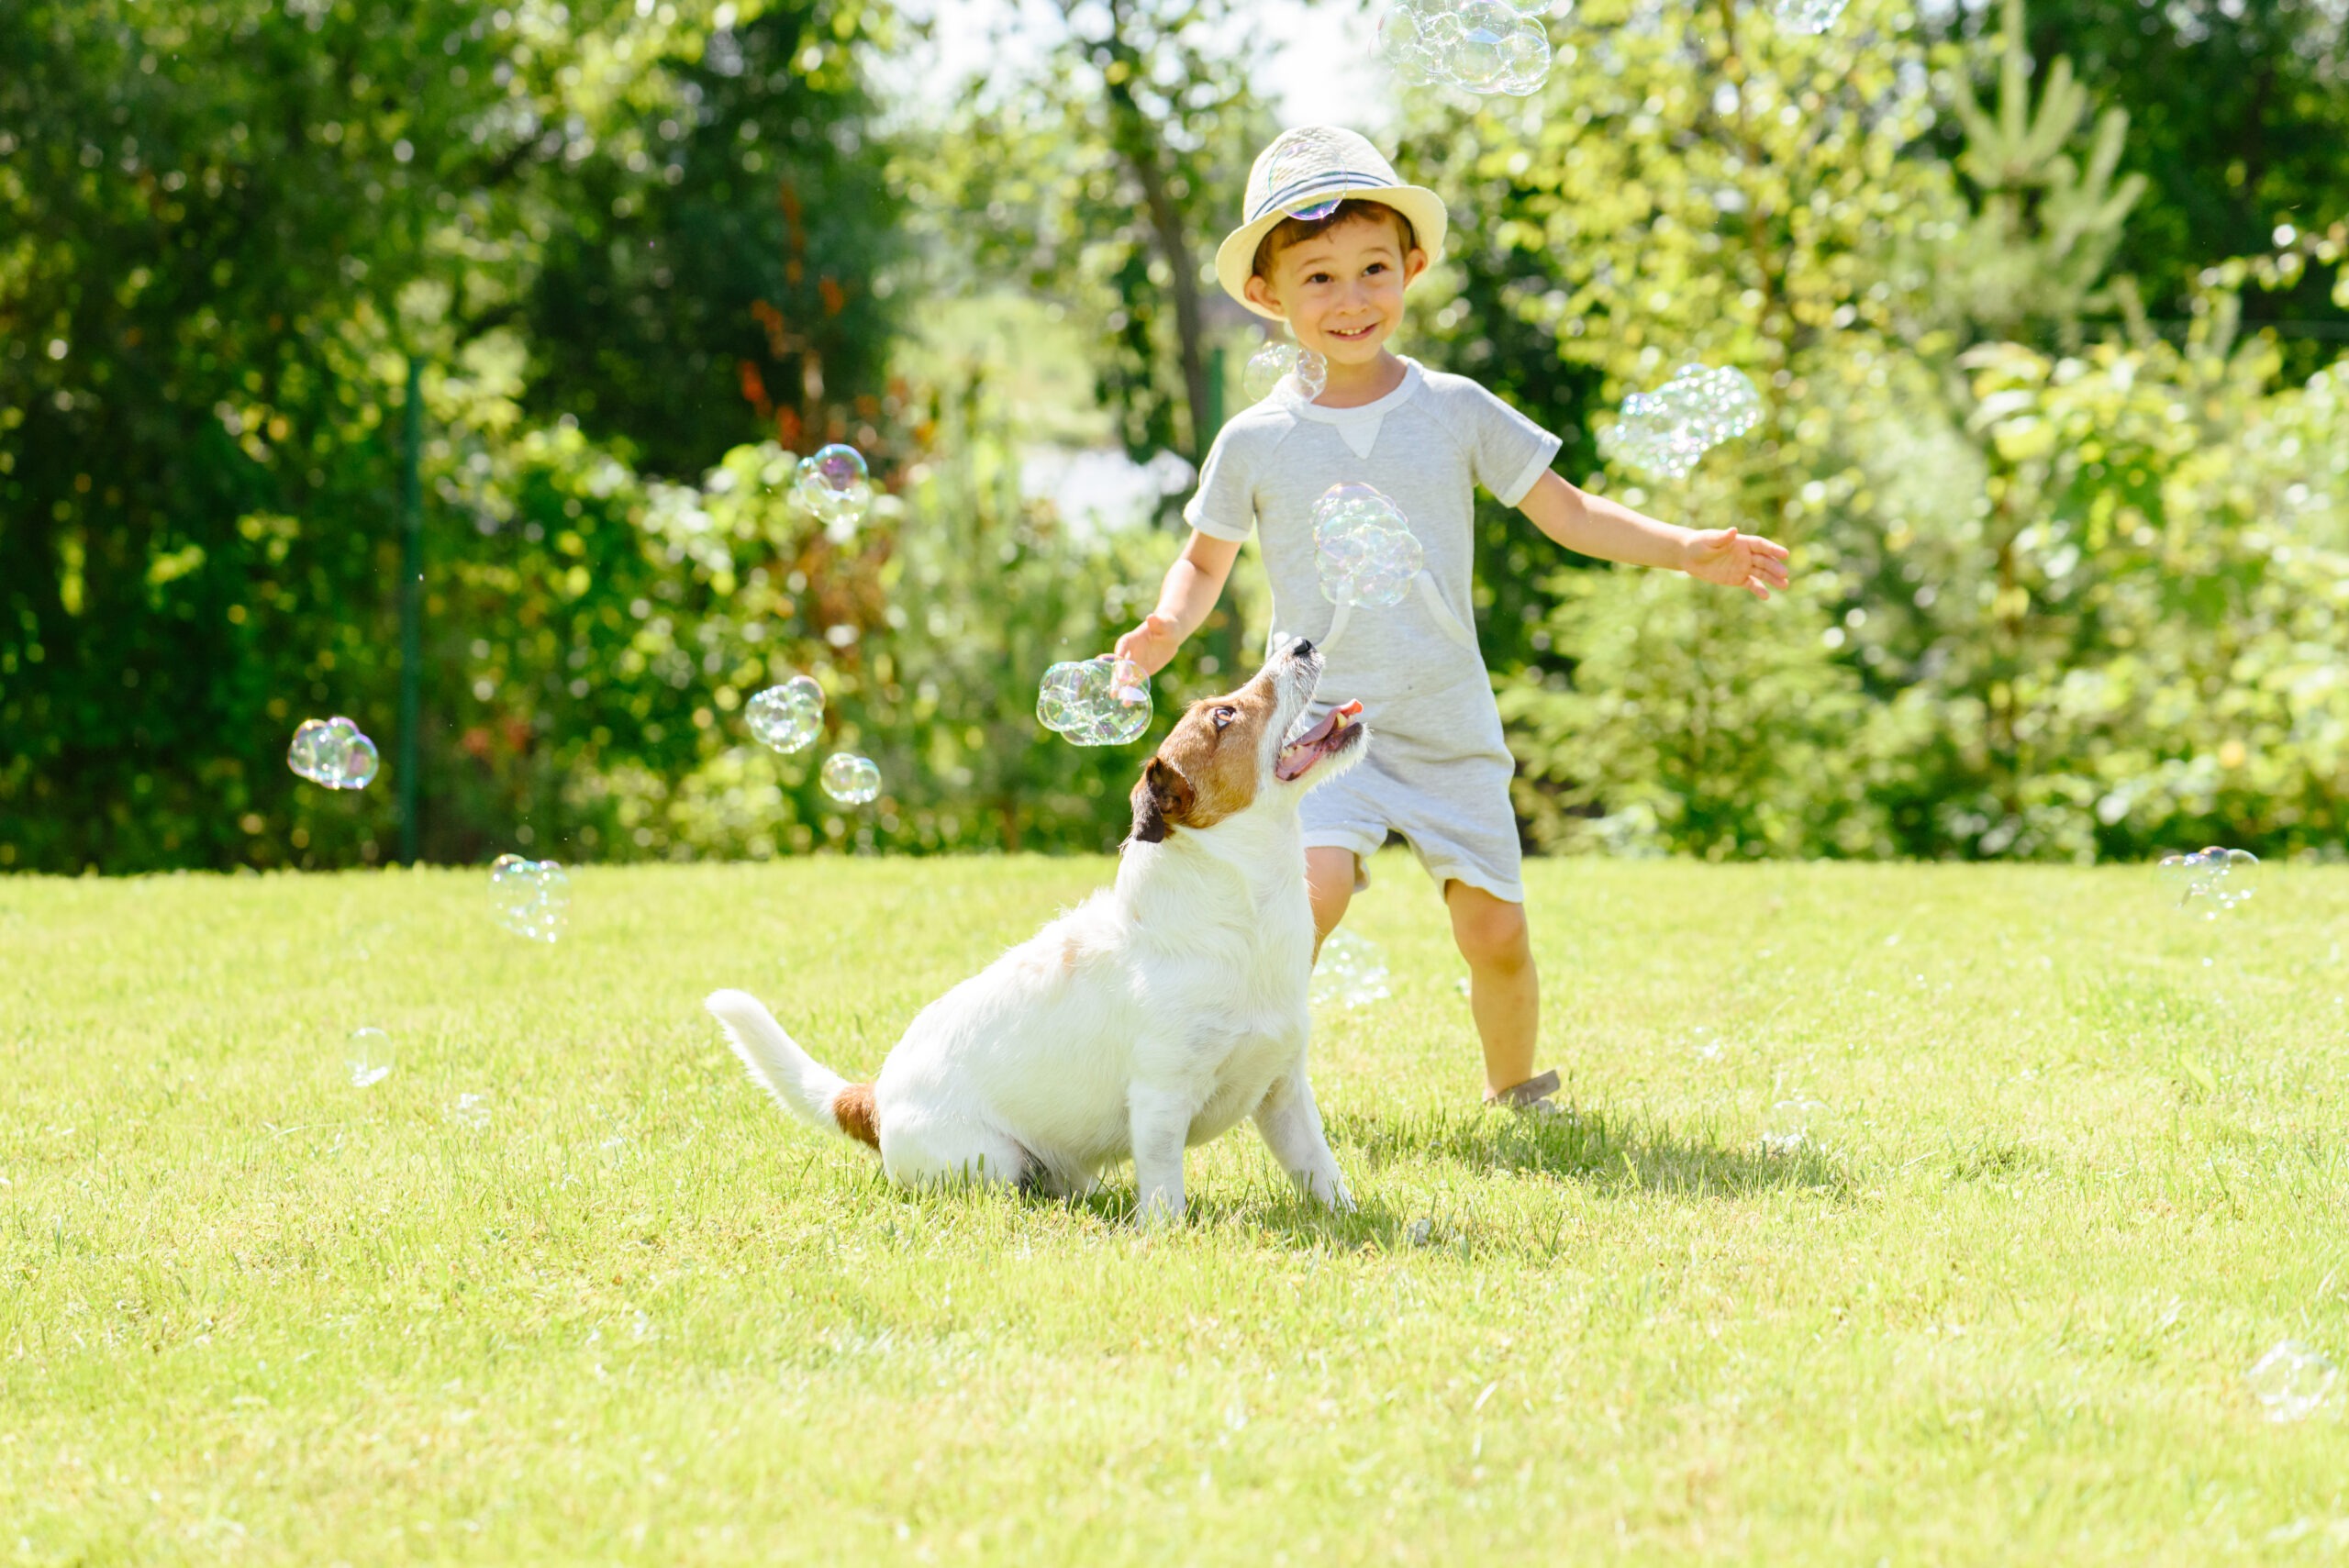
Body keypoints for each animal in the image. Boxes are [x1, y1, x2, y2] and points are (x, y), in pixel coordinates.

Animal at [699, 638, 1362, 1220]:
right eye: (1224, 715)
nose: (1302, 643)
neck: (1238, 913)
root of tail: (874, 1099)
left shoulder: (1284, 1093)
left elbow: (1320, 1169)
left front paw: (1349, 1219)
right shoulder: (1160, 1100)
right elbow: (1163, 1190)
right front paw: (1165, 1234)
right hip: (990, 1160)